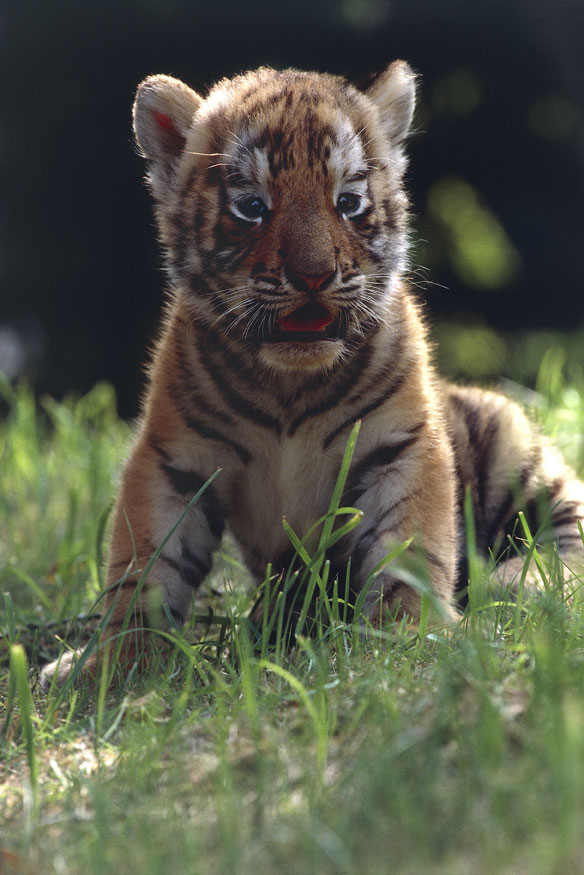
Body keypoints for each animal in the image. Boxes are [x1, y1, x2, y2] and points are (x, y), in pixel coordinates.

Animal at [41, 60, 584, 685]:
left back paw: (518, 584)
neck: (289, 385)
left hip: (513, 450)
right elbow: (145, 564)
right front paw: (116, 661)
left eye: (347, 201)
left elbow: (409, 546)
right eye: (251, 207)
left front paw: (407, 636)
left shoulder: (401, 443)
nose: (314, 276)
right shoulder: (174, 458)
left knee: (565, 539)